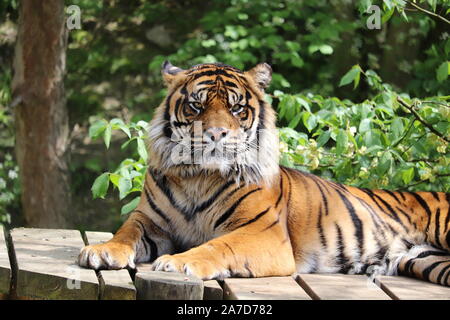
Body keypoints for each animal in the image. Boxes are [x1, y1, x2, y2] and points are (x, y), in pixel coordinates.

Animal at [79, 61, 450, 286]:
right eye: (196, 105)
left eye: (236, 108)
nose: (216, 134)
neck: (199, 176)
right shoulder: (150, 220)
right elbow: (126, 231)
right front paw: (102, 250)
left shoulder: (262, 233)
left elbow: (218, 246)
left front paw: (178, 263)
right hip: (427, 260)